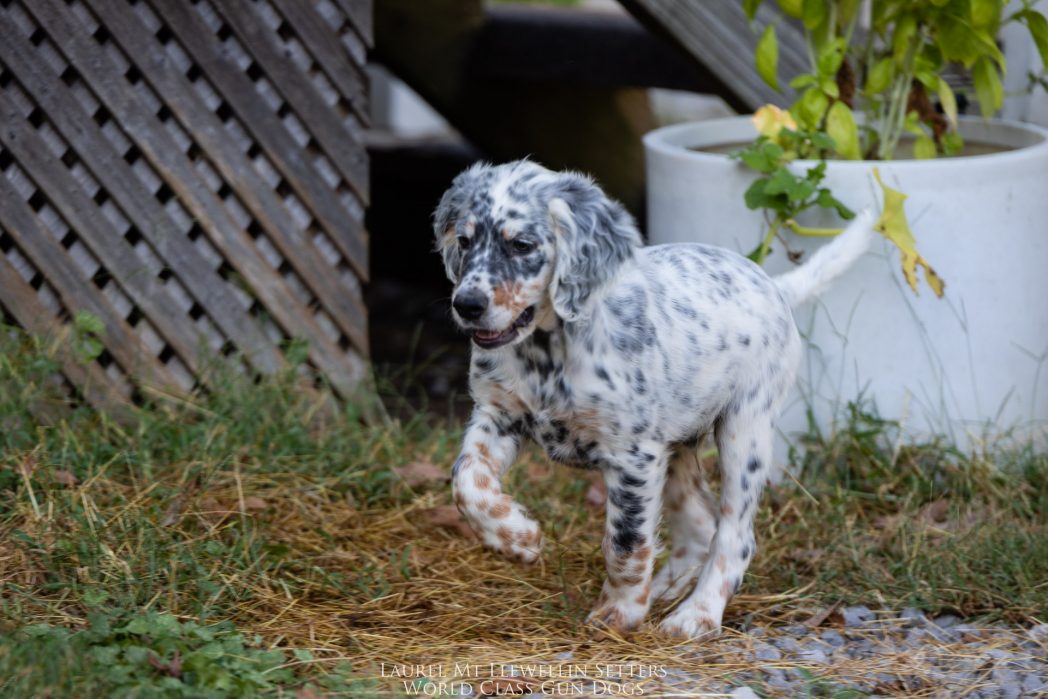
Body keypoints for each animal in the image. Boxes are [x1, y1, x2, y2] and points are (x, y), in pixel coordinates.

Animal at [429, 158, 871, 641]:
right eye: (464, 241)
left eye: (521, 245)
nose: (466, 304)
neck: (548, 352)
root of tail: (772, 285)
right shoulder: (498, 414)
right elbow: (466, 480)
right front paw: (515, 537)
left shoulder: (632, 455)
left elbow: (626, 541)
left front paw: (619, 611)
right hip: (675, 444)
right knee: (699, 527)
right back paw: (663, 590)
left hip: (745, 430)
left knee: (733, 535)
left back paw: (696, 614)